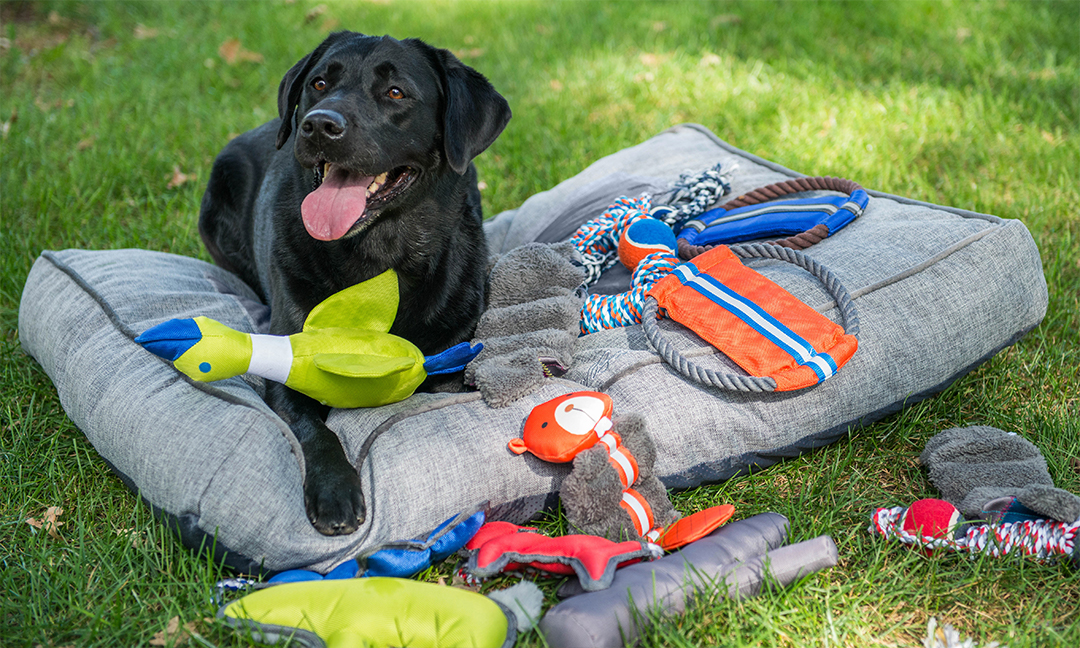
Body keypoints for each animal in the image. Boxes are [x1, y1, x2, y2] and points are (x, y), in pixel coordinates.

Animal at [199, 31, 514, 535]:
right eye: (319, 83)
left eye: (396, 92)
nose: (317, 126)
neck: (377, 258)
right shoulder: (286, 365)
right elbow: (315, 429)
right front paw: (335, 491)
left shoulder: (452, 364)